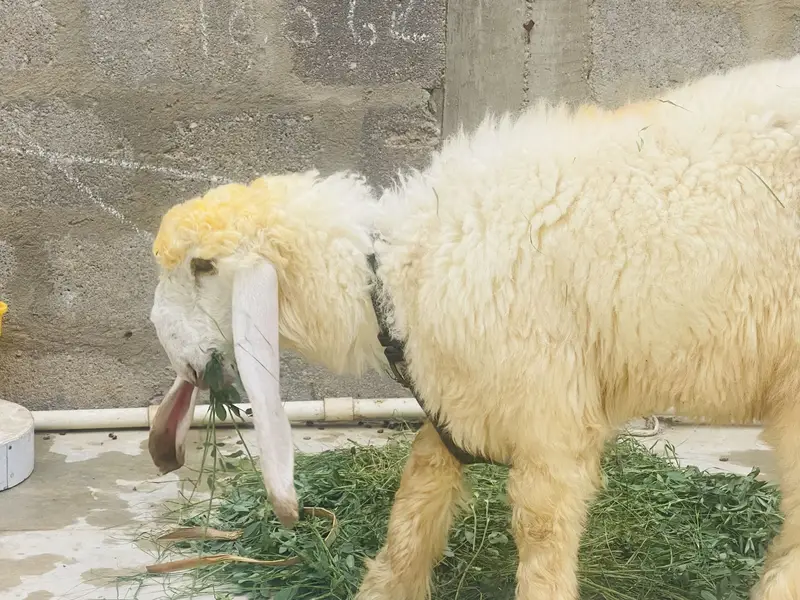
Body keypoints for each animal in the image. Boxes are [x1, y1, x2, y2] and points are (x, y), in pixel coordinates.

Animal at [147, 53, 800, 600]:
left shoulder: (549, 419)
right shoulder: (457, 407)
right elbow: (415, 502)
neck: (393, 273)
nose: (175, 355)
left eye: (201, 266)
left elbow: (541, 534)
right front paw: (383, 589)